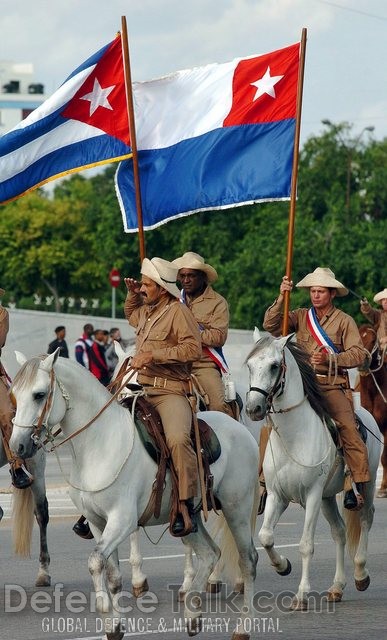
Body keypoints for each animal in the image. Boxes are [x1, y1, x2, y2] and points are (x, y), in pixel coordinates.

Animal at [9, 350, 260, 640]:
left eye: (39, 394)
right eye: (14, 394)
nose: (17, 446)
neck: (99, 443)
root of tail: (242, 430)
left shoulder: (122, 521)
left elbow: (95, 562)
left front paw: (109, 618)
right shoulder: (97, 523)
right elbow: (114, 577)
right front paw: (115, 626)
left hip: (237, 508)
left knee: (248, 560)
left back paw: (243, 627)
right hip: (190, 518)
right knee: (210, 553)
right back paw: (193, 616)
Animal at [246, 332, 382, 608]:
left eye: (274, 366)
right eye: (250, 366)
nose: (254, 409)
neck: (294, 436)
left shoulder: (312, 495)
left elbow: (306, 544)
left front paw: (301, 594)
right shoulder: (277, 496)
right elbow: (265, 536)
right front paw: (282, 566)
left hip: (367, 484)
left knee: (365, 518)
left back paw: (360, 574)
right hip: (329, 497)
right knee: (339, 532)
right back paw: (337, 587)